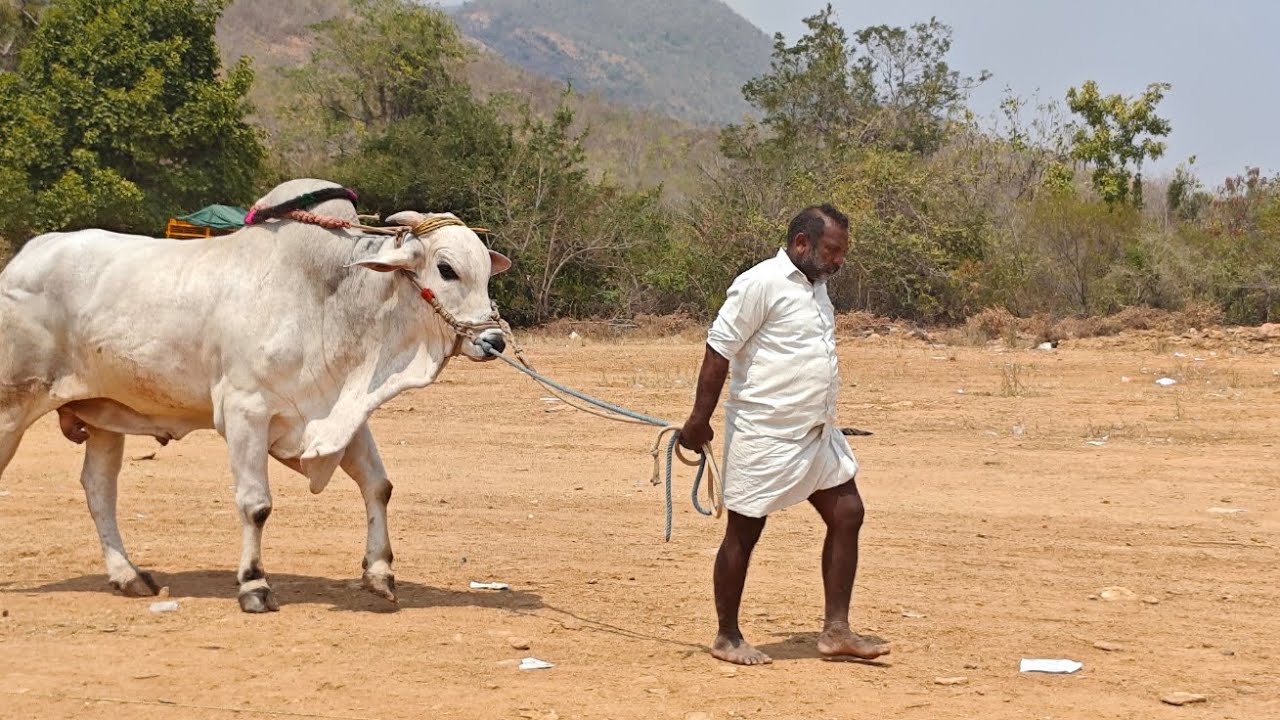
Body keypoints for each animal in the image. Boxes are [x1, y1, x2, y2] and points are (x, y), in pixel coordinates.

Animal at [0, 178, 511, 612]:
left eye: (487, 271)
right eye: (446, 269)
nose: (494, 341)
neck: (329, 299)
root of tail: (23, 258)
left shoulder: (341, 414)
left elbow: (378, 486)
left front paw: (380, 573)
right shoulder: (246, 411)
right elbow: (256, 504)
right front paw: (254, 584)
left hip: (105, 415)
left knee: (99, 490)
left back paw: (128, 575)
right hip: (12, 406)